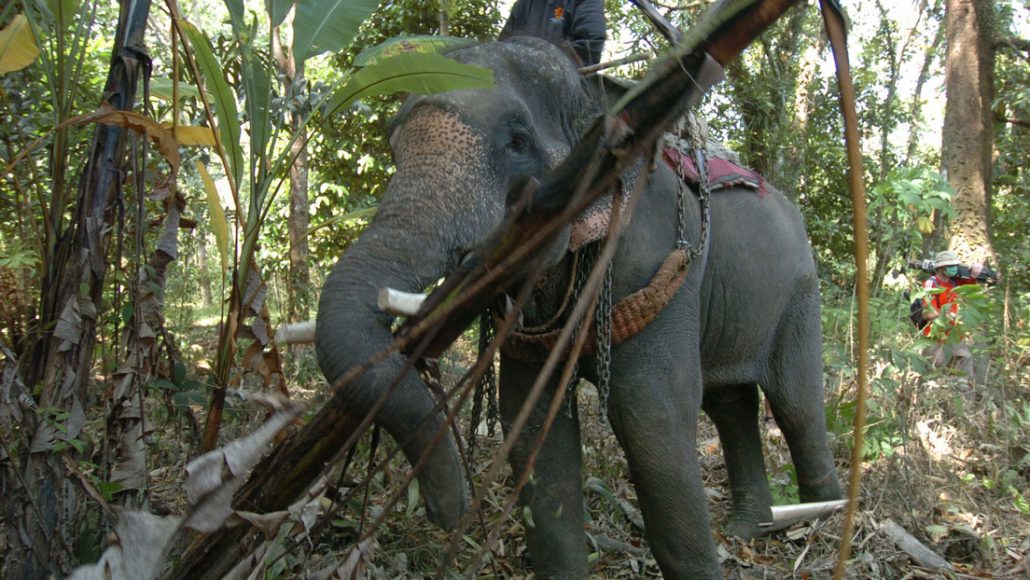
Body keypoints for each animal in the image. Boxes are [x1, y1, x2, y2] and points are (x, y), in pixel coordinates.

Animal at [317, 38, 840, 576]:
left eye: (518, 141)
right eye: (392, 148)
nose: (451, 511)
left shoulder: (655, 256)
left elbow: (650, 411)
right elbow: (529, 419)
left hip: (801, 290)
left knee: (795, 402)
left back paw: (820, 518)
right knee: (730, 403)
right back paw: (747, 530)